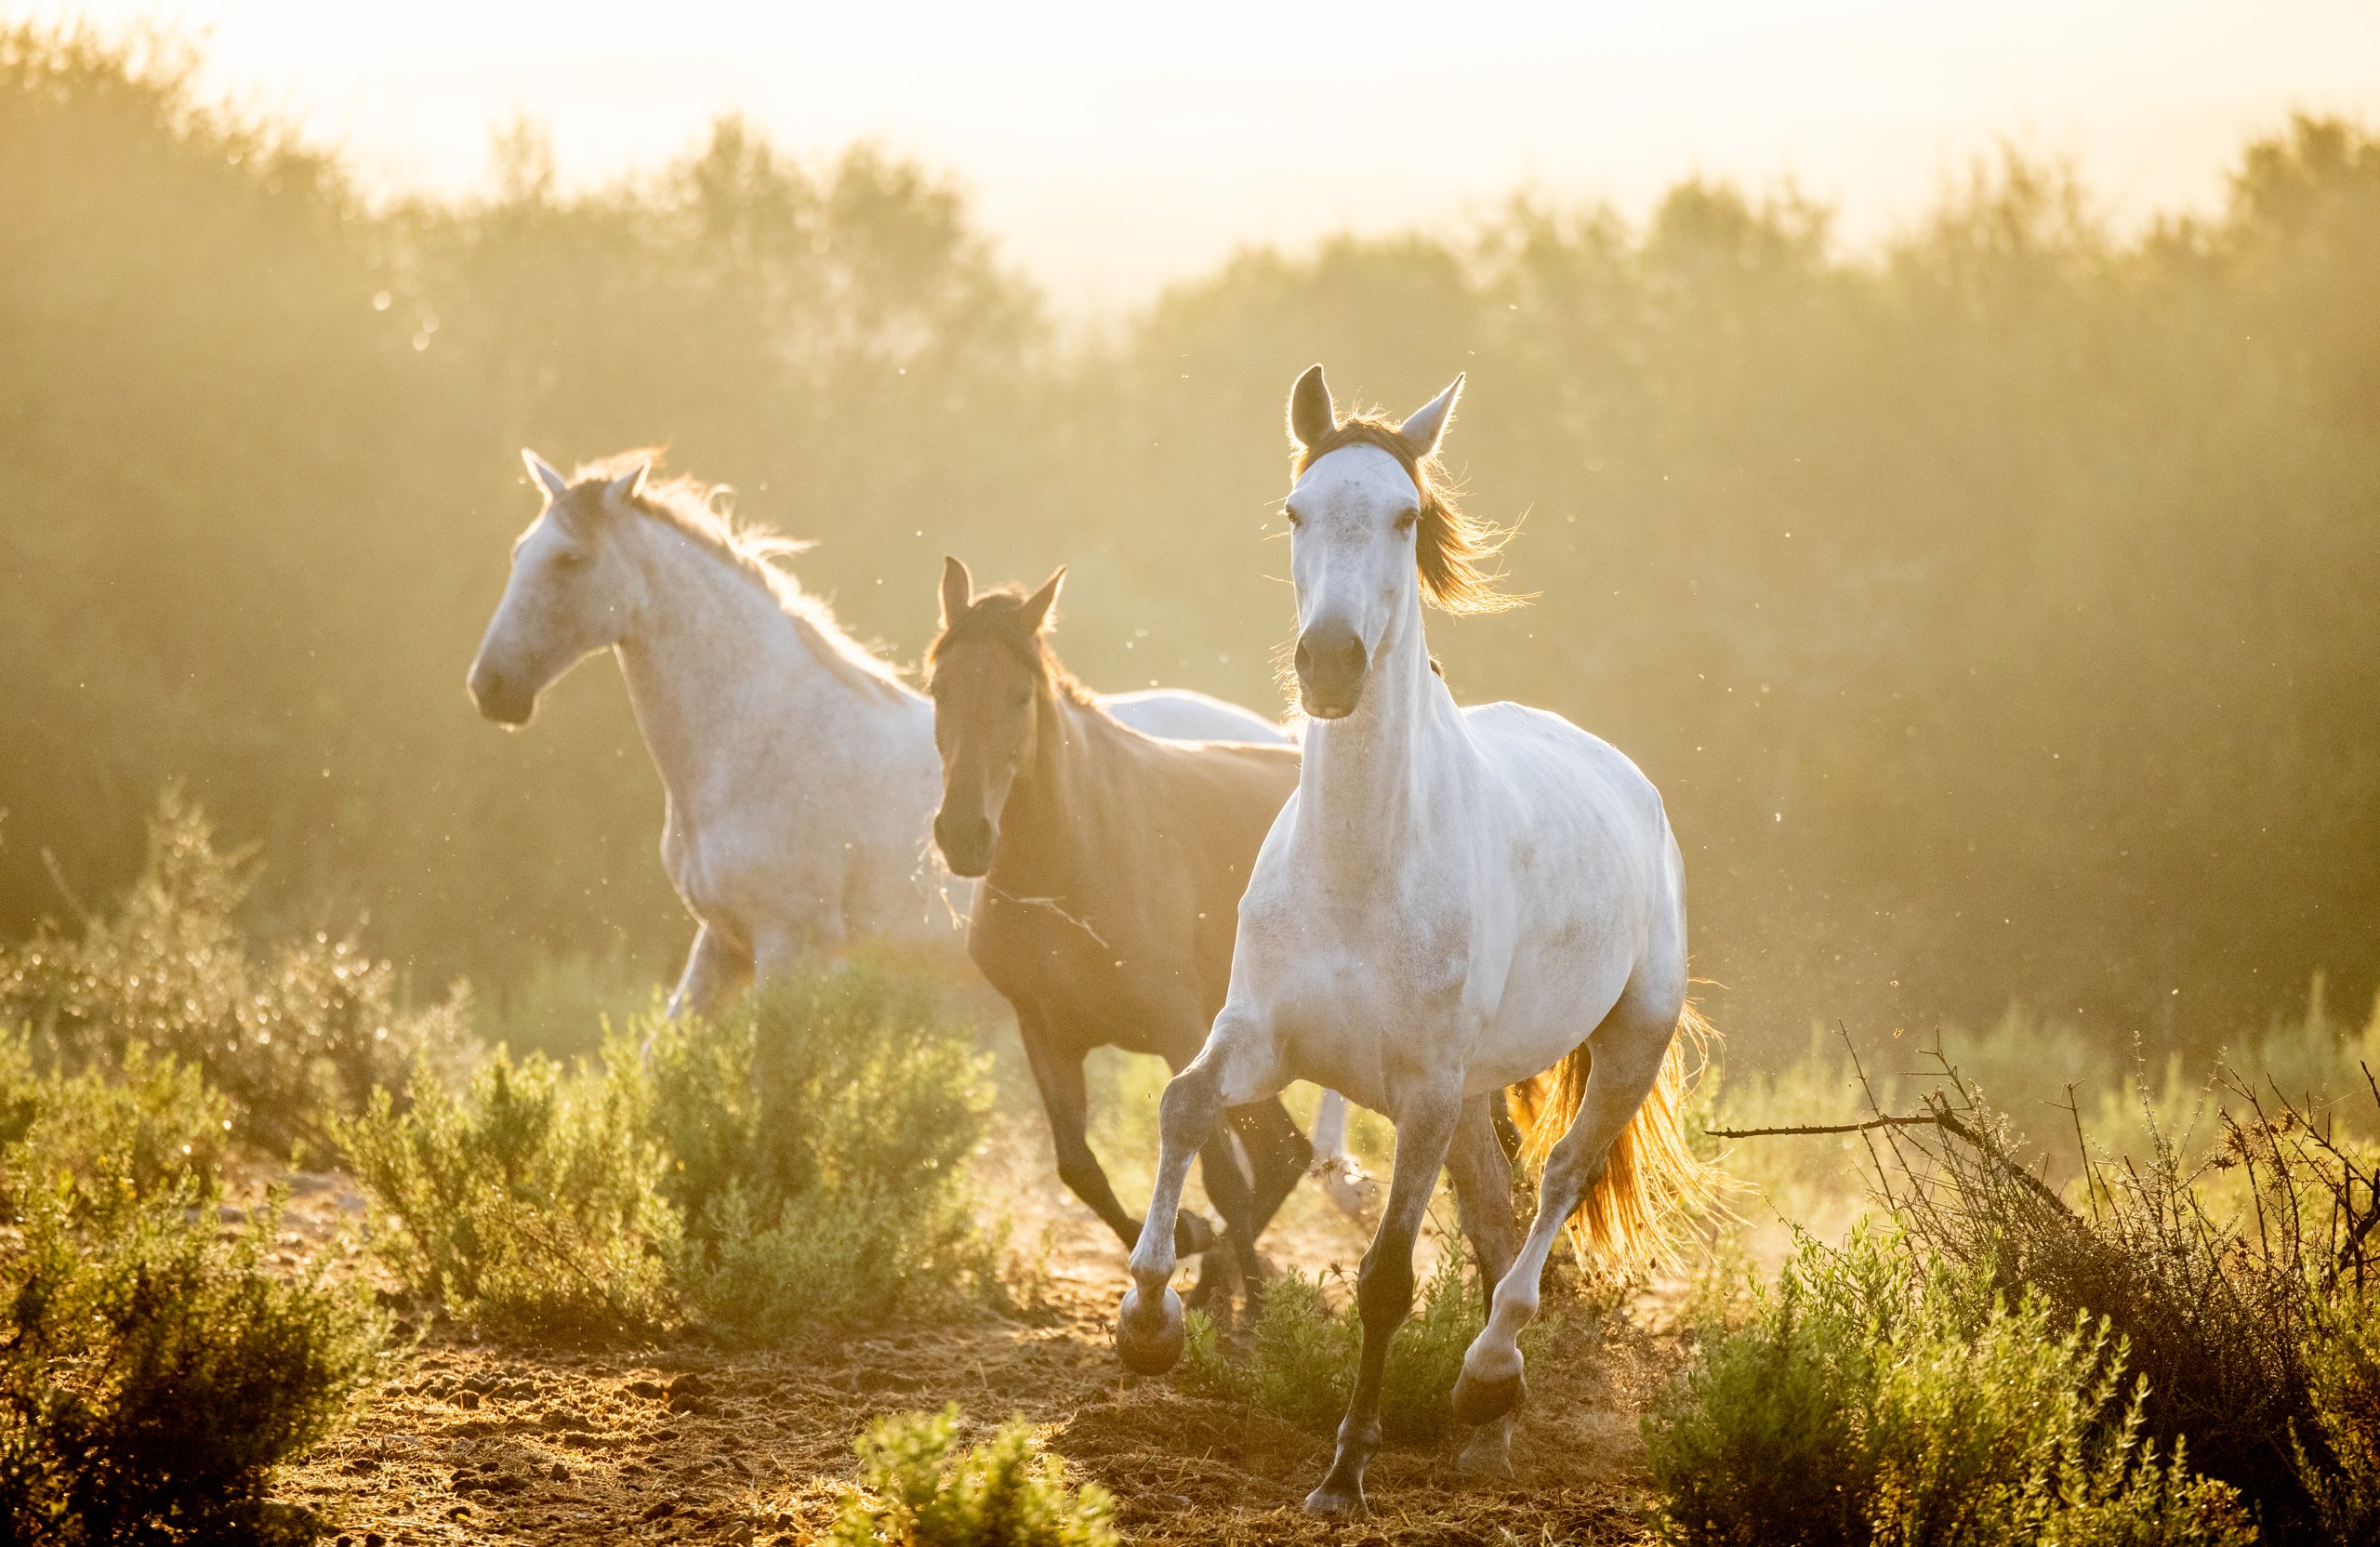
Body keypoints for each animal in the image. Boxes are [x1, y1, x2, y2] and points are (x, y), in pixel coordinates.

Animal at [464, 449, 1296, 1017]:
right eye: (517, 552)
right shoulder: (724, 944)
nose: (491, 687)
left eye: (571, 559)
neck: (756, 739)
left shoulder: (789, 947)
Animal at [928, 555, 1343, 1297]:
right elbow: (1078, 1167)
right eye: (939, 690)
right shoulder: (1045, 1031)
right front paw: (1192, 1241)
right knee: (1283, 1155)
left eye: (1018, 695)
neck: (1071, 859)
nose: (964, 836)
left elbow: (1221, 1178)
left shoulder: (1180, 1029)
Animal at [1114, 367, 1717, 1515]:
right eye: (1294, 511)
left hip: (1623, 1046)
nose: (1330, 664)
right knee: (1493, 1216)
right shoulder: (1264, 1039)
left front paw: (1345, 1472)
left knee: (1559, 1183)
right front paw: (1146, 1323)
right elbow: (1183, 1105)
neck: (1360, 864)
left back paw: (1487, 1375)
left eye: (1403, 515)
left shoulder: (1425, 1091)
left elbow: (1386, 1278)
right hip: (1477, 1098)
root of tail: (1630, 780)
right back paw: (1486, 1432)